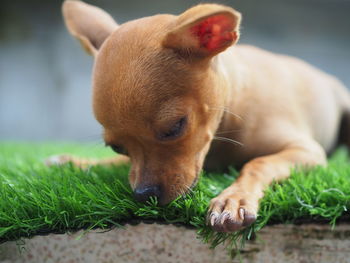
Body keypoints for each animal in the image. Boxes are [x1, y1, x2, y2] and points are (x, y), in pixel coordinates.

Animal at [52, 1, 350, 233]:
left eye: (174, 127)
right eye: (116, 147)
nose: (143, 195)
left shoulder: (306, 151)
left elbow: (258, 163)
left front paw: (233, 199)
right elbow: (115, 164)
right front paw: (75, 162)